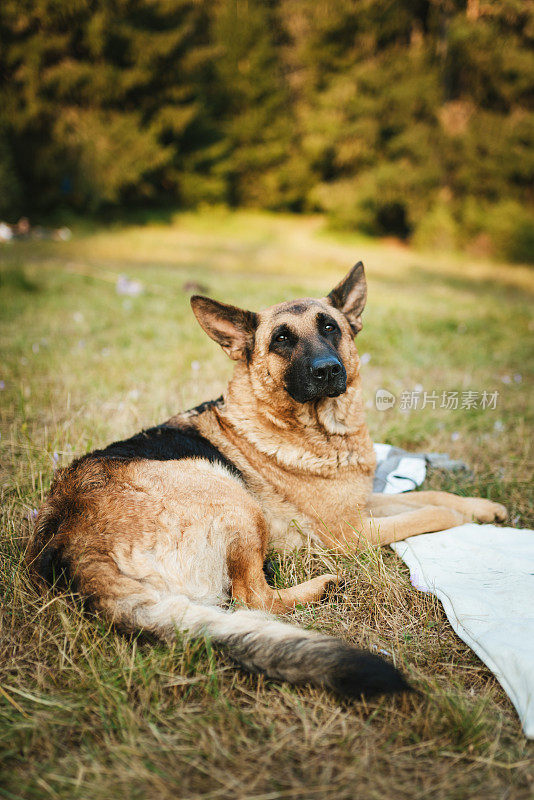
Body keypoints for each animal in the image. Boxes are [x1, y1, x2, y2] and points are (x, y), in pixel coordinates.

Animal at [29, 264, 506, 700]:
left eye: (330, 327)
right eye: (281, 340)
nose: (328, 370)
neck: (315, 431)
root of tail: (73, 540)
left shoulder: (361, 503)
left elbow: (433, 494)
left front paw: (483, 507)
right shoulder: (346, 533)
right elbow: (431, 512)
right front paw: (464, 520)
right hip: (232, 498)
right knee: (252, 598)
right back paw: (320, 586)